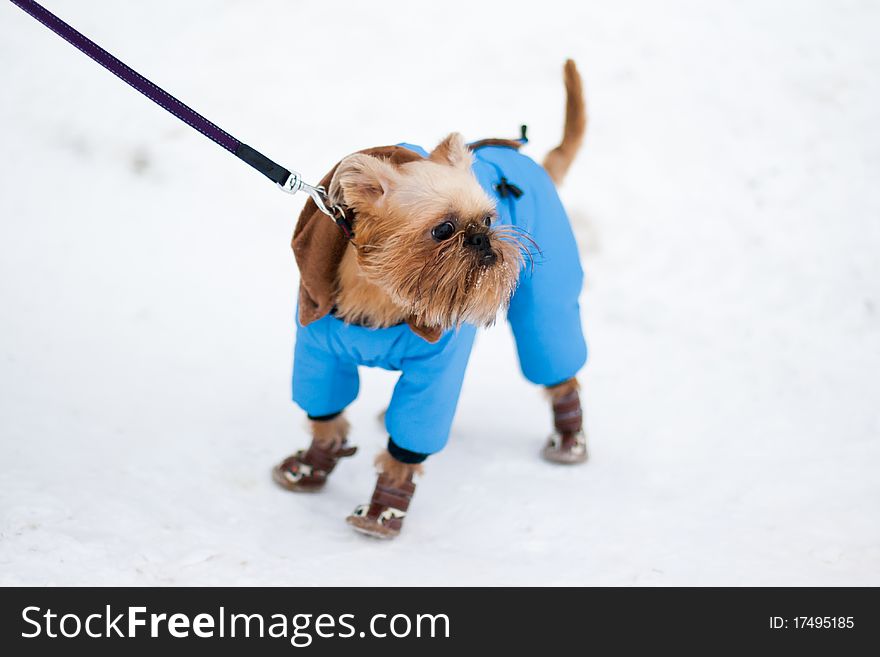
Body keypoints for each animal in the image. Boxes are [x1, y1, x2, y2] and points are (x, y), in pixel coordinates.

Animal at [272, 60, 588, 540]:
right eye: (443, 230)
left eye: (489, 220)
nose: (481, 239)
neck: (383, 291)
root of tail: (530, 160)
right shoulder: (318, 352)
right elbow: (325, 416)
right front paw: (312, 465)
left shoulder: (433, 371)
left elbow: (408, 444)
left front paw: (384, 508)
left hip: (546, 300)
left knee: (556, 360)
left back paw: (570, 438)